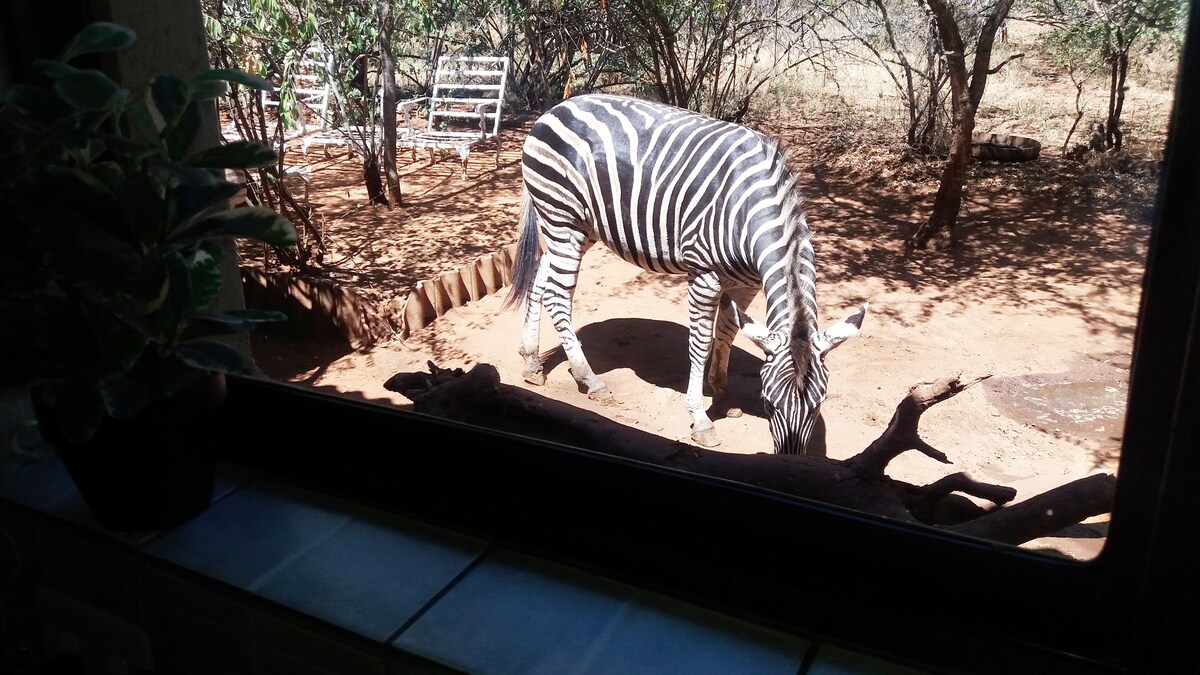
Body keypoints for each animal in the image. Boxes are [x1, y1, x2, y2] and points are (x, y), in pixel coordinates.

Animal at [501, 93, 868, 451]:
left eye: (819, 404)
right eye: (768, 404)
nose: (790, 463)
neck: (748, 212)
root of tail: (555, 108)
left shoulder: (746, 283)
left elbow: (726, 333)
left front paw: (723, 395)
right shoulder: (704, 276)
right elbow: (701, 343)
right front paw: (701, 419)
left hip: (580, 226)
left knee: (540, 279)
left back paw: (531, 362)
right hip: (562, 218)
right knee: (557, 295)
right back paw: (589, 379)